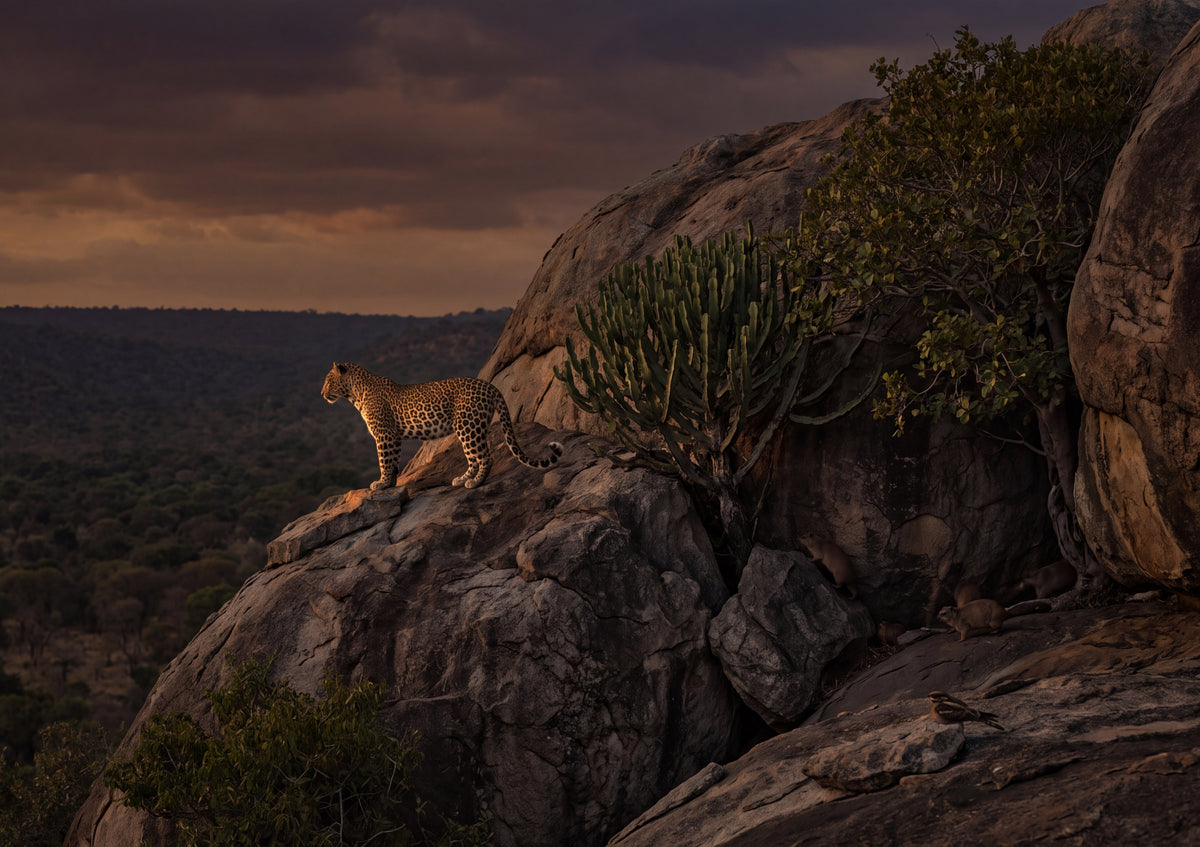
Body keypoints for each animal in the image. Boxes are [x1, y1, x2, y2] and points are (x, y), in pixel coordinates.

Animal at [321, 362, 562, 490]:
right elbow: (394, 462)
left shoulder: (385, 435)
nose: (322, 394)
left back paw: (475, 483)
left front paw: (381, 483)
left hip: (468, 426)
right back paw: (462, 479)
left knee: (485, 457)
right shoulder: (394, 437)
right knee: (473, 458)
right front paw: (390, 484)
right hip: (470, 428)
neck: (355, 394)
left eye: (328, 380)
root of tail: (489, 385)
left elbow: (385, 461)